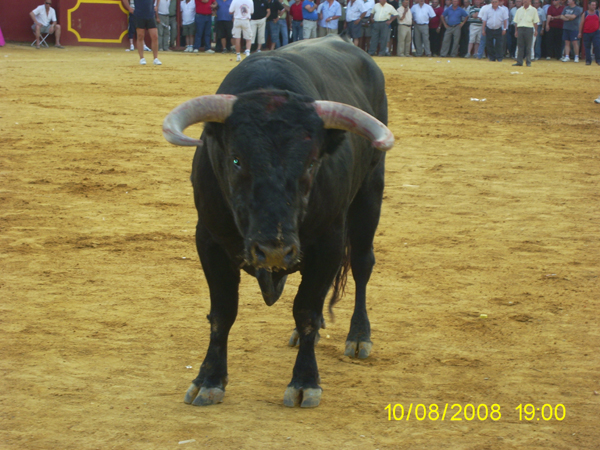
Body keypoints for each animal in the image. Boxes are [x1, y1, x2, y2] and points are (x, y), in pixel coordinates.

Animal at [163, 35, 394, 408]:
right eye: (236, 160)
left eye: (312, 163)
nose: (273, 250)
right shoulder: (209, 240)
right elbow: (223, 312)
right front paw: (208, 379)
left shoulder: (328, 242)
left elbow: (306, 310)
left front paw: (305, 382)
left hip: (370, 194)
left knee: (362, 264)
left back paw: (359, 336)